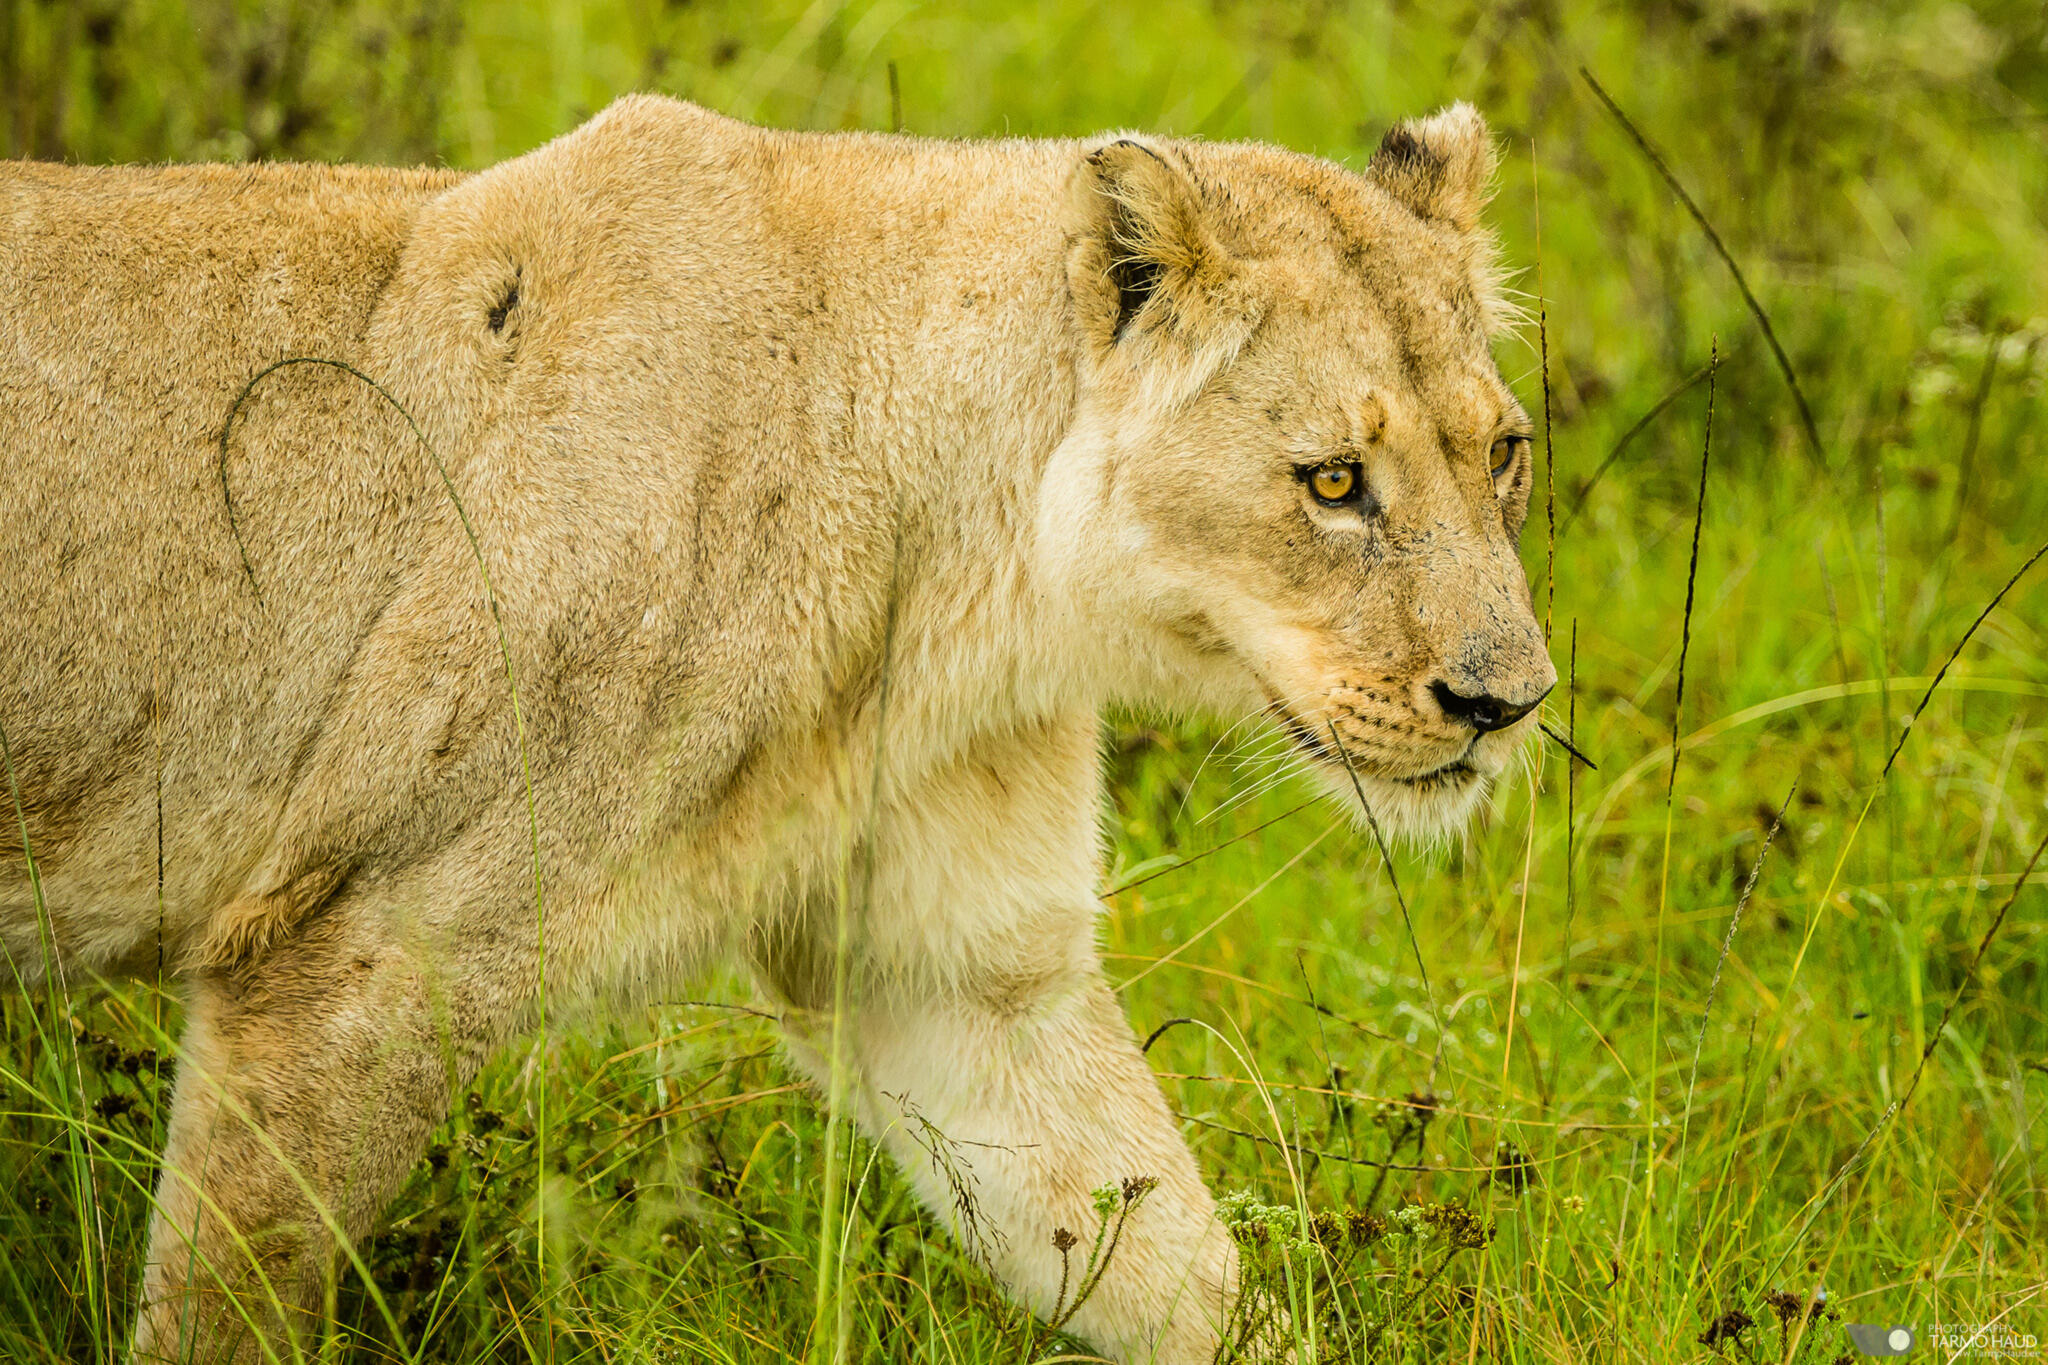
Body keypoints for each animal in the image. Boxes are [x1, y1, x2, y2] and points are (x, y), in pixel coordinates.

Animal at [0, 94, 1553, 1363]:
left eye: (1502, 453)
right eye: (1333, 482)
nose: (1506, 702)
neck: (957, 591)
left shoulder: (966, 980)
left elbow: (1158, 1249)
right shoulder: (355, 953)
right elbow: (227, 1305)